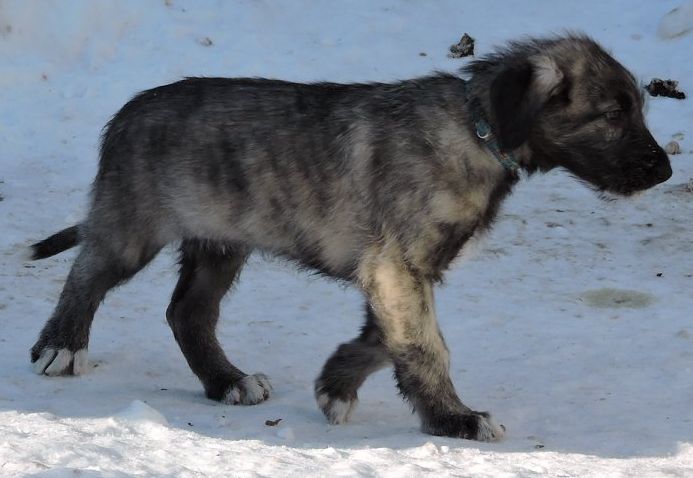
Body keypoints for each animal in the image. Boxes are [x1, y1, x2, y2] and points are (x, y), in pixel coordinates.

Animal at [29, 34, 672, 441]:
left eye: (637, 108)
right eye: (612, 115)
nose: (665, 171)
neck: (477, 129)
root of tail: (125, 116)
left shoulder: (398, 270)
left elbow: (391, 337)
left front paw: (335, 383)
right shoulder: (398, 266)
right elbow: (425, 344)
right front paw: (456, 420)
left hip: (220, 243)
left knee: (188, 312)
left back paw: (227, 380)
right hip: (134, 224)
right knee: (88, 272)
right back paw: (61, 345)